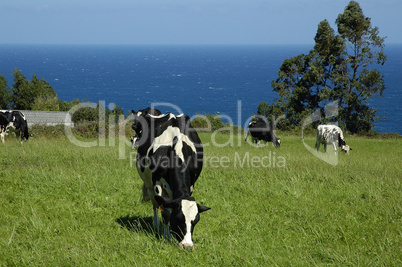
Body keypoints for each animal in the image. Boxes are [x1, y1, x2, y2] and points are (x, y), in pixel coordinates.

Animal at [134, 109, 210, 251]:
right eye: (179, 219)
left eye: (195, 221)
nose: (187, 246)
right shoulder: (157, 183)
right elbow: (165, 213)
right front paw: (166, 237)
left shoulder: (191, 184)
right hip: (149, 184)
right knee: (155, 204)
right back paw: (156, 225)